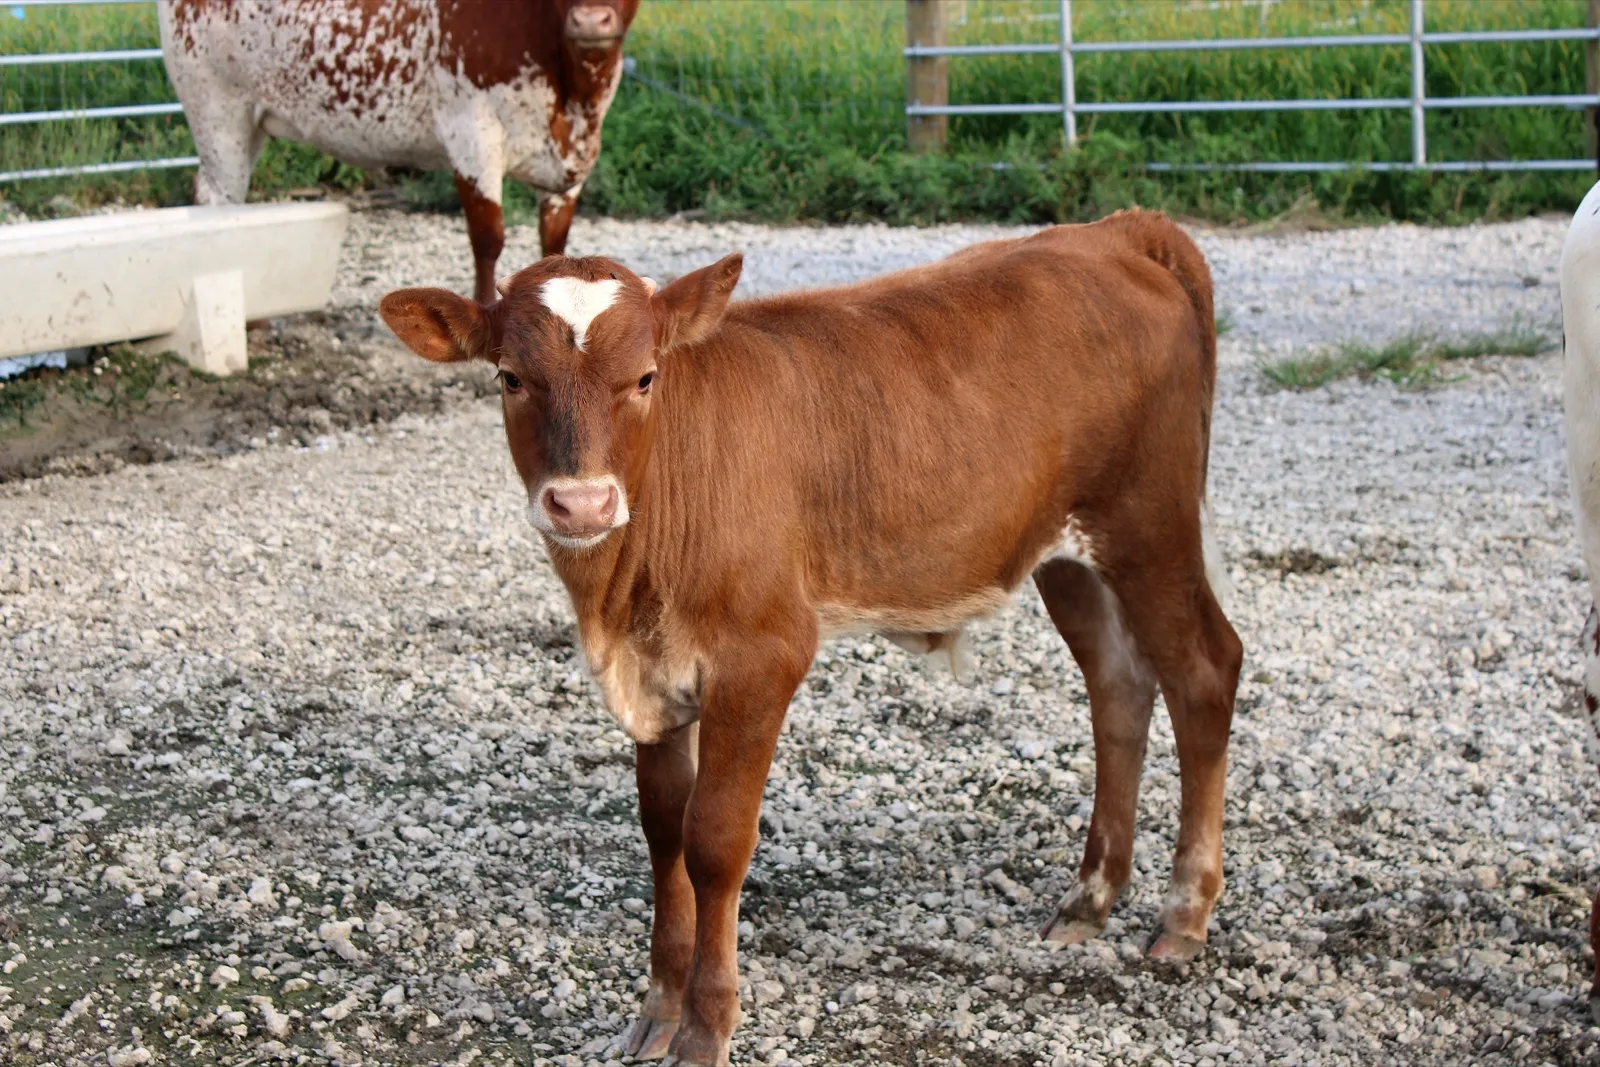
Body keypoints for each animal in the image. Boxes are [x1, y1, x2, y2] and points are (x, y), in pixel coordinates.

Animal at [157, 0, 639, 305]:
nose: (590, 20)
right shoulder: (472, 132)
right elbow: (488, 238)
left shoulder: (570, 161)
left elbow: (554, 246)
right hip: (217, 112)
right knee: (217, 202)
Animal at [379, 209, 1243, 1064]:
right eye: (510, 377)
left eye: (646, 377)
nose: (583, 503)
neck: (619, 599)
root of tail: (1112, 231)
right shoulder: (654, 674)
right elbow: (662, 828)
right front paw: (657, 1010)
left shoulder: (763, 654)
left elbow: (714, 838)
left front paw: (705, 1027)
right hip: (1065, 554)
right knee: (1119, 684)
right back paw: (1091, 897)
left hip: (1149, 523)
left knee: (1205, 670)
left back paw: (1184, 913)